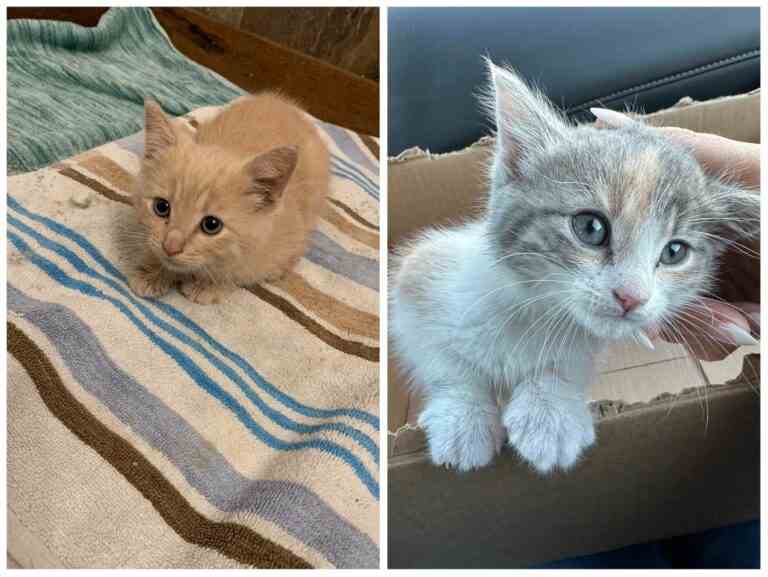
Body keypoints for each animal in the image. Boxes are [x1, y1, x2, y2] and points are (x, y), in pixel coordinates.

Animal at [127, 92, 330, 304]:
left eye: (211, 225)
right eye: (161, 206)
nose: (170, 247)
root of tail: (287, 106)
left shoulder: (289, 240)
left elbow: (241, 270)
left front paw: (208, 284)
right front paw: (153, 272)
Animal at [390, 59, 756, 472]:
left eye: (675, 252)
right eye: (590, 228)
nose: (631, 296)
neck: (533, 309)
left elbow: (567, 363)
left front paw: (550, 412)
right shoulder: (420, 274)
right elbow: (441, 358)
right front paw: (464, 415)